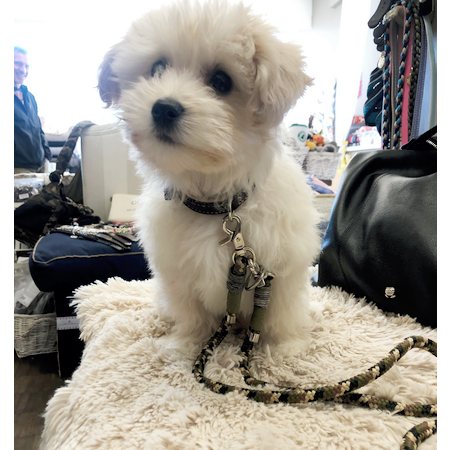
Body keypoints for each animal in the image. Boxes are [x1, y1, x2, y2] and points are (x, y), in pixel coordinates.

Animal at [98, 0, 320, 352]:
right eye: (157, 68)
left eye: (221, 81)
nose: (163, 108)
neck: (218, 205)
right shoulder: (178, 274)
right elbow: (192, 314)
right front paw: (185, 344)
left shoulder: (280, 272)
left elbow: (278, 314)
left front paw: (284, 350)